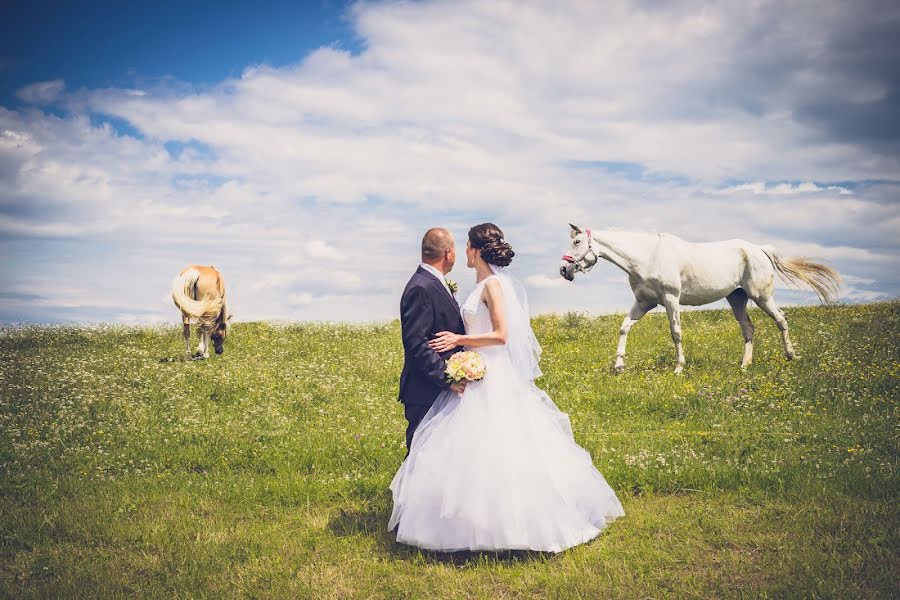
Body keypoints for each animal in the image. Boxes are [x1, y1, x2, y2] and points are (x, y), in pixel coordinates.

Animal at [560, 226, 840, 376]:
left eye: (577, 242)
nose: (564, 270)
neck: (647, 257)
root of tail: (760, 249)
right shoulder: (644, 303)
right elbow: (624, 327)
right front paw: (618, 366)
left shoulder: (670, 299)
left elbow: (676, 332)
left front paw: (678, 368)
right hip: (737, 299)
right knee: (749, 328)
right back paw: (744, 365)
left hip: (761, 296)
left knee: (781, 319)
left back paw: (791, 356)